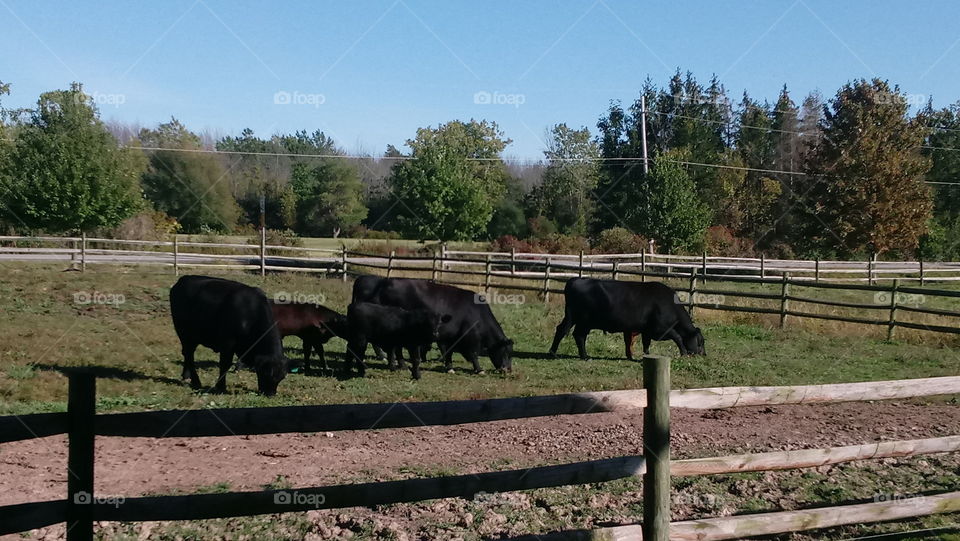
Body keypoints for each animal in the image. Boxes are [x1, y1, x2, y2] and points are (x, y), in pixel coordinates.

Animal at [352, 276, 513, 374]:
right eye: (505, 352)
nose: (508, 369)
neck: (477, 314)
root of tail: (384, 282)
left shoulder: (449, 337)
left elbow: (448, 352)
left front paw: (449, 367)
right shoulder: (469, 338)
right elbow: (473, 355)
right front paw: (479, 370)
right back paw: (398, 363)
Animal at [548, 278, 705, 360]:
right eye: (700, 342)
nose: (704, 354)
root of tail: (575, 280)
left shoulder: (645, 331)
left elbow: (644, 344)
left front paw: (644, 356)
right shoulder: (661, 329)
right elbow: (677, 337)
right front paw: (684, 352)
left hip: (572, 317)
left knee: (561, 330)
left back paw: (553, 353)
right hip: (584, 321)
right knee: (578, 335)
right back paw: (585, 356)